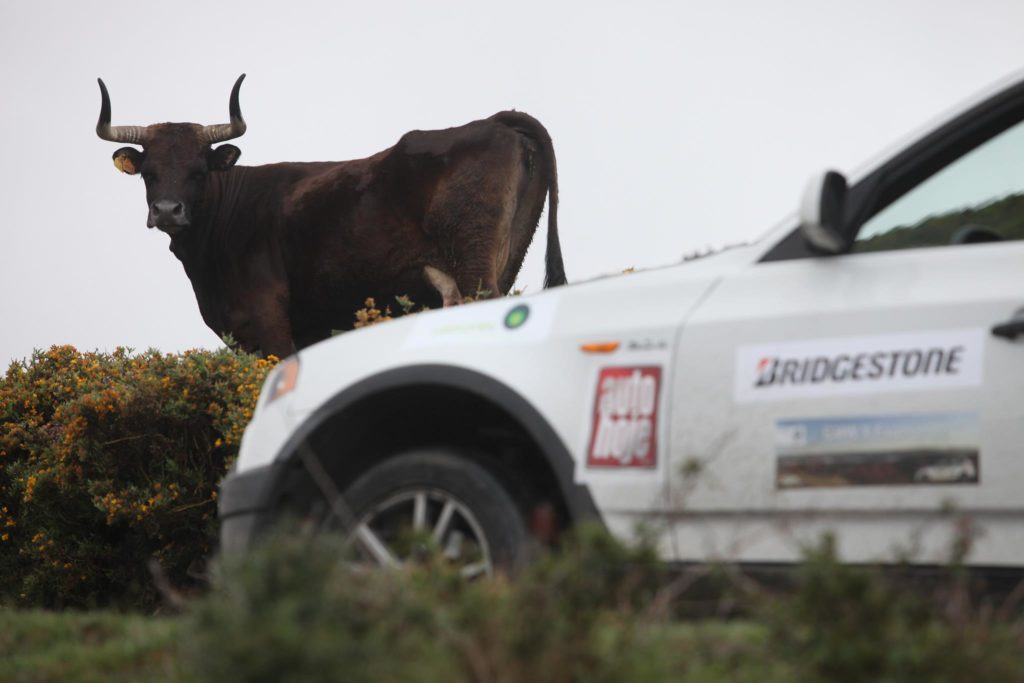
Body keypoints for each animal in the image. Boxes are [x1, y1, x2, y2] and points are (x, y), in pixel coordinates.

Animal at [98, 76, 565, 358]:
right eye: (149, 173)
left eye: (198, 170)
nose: (167, 210)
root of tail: (495, 120)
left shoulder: (269, 316)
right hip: (506, 257)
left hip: (475, 266)